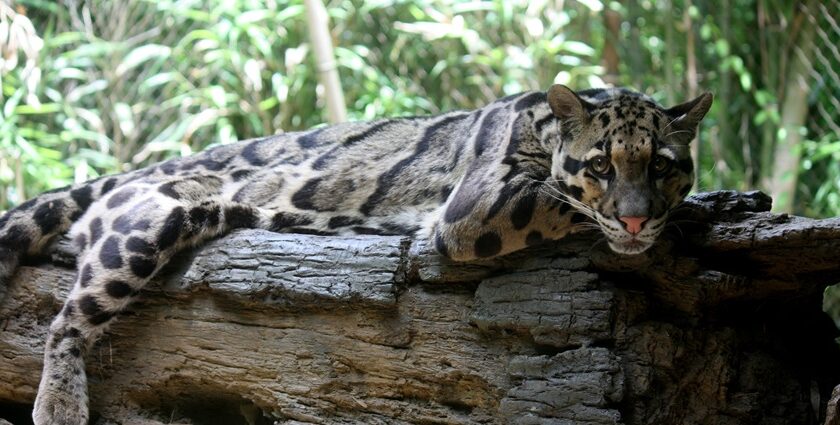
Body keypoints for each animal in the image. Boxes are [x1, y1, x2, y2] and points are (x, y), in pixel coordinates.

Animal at [0, 84, 712, 424]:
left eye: (663, 165)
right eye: (601, 165)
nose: (637, 215)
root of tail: (140, 169)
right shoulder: (475, 208)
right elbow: (565, 204)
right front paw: (647, 229)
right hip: (152, 220)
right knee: (66, 322)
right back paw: (59, 405)